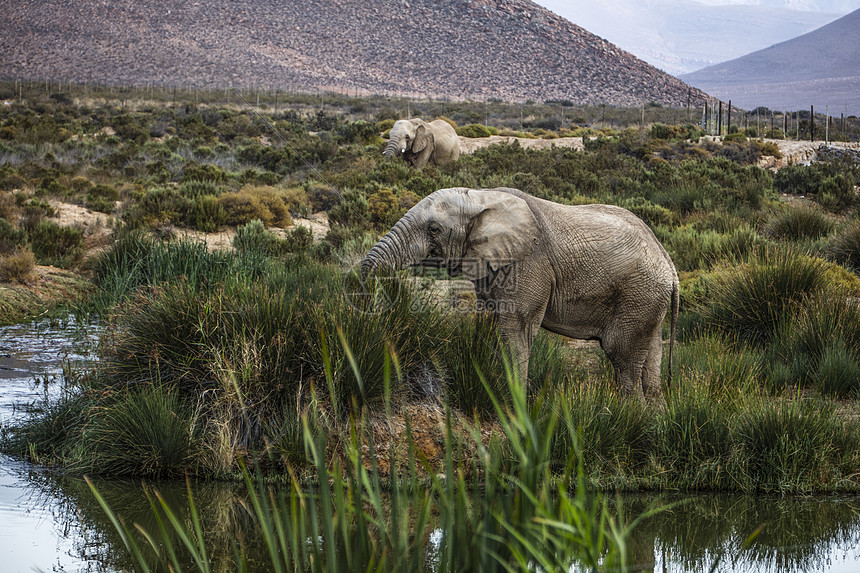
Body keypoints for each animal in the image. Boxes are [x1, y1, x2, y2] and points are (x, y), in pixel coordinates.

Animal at [362, 185, 680, 400]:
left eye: (433, 229)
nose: (365, 283)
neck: (481, 197)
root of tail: (669, 263)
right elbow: (489, 325)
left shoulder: (528, 264)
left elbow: (514, 332)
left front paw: (513, 402)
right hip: (648, 301)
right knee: (651, 360)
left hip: (638, 294)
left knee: (622, 359)